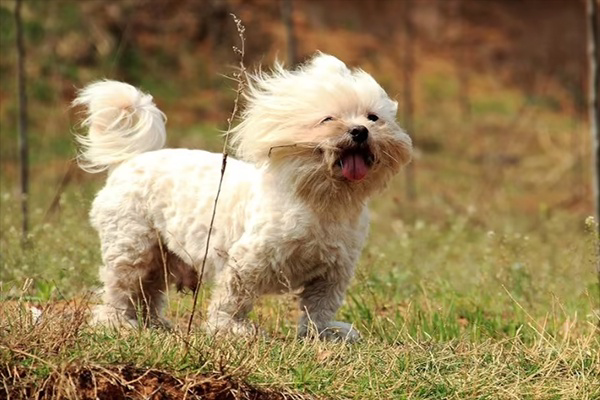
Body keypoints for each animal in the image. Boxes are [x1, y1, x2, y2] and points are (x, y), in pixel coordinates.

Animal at [74, 52, 412, 340]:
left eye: (373, 118)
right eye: (328, 119)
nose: (359, 131)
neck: (322, 201)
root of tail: (130, 159)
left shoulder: (333, 273)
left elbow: (319, 309)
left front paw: (326, 335)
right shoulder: (246, 262)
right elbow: (232, 301)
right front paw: (231, 330)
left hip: (162, 256)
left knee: (149, 292)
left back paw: (155, 325)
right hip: (132, 247)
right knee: (121, 288)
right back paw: (117, 322)